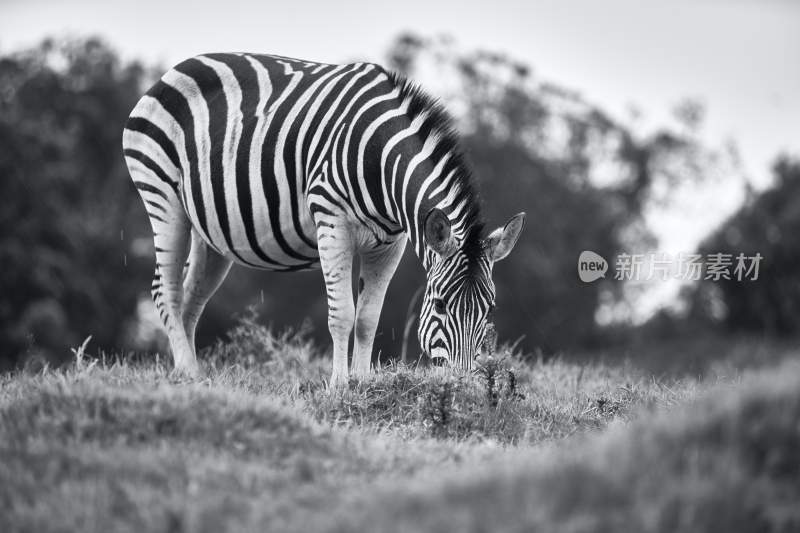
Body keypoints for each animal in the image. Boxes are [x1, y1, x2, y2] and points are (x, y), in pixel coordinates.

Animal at [122, 53, 524, 386]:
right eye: (439, 304)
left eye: (489, 309)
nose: (463, 387)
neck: (379, 159)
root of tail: (176, 69)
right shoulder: (332, 221)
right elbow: (343, 313)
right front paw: (339, 387)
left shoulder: (390, 244)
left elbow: (368, 317)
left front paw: (363, 383)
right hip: (163, 197)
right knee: (166, 289)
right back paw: (187, 373)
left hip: (212, 233)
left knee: (191, 298)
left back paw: (192, 374)